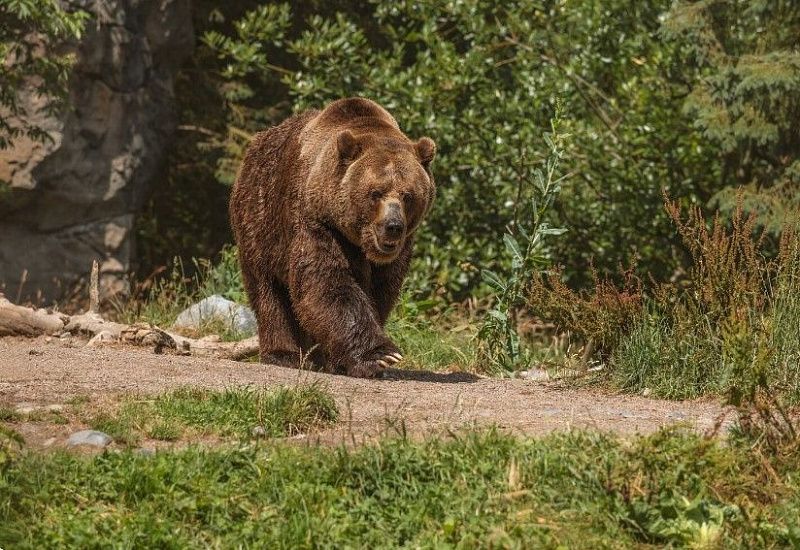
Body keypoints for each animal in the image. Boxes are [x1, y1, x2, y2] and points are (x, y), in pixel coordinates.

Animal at [229, 97, 436, 378]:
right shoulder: (318, 223)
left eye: (408, 195)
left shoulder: (396, 254)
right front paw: (380, 356)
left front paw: (343, 360)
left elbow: (381, 292)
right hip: (260, 221)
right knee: (268, 290)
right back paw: (283, 354)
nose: (393, 226)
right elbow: (328, 283)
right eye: (375, 193)